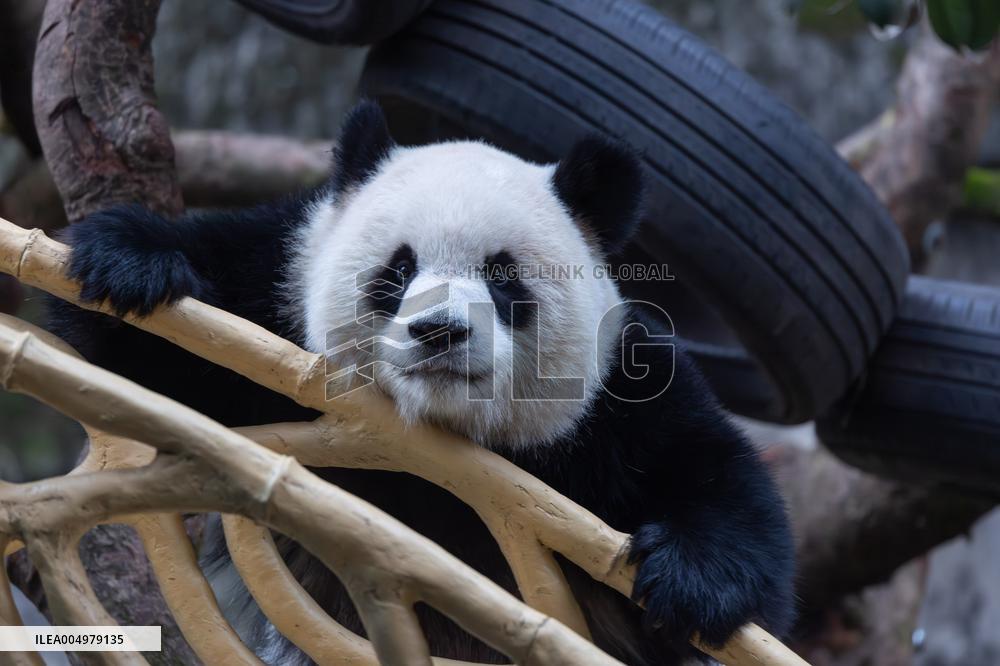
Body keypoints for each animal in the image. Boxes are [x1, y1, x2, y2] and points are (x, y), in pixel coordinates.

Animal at [49, 101, 794, 665]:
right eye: (399, 268)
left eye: (503, 276)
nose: (439, 331)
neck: (434, 444)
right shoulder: (271, 300)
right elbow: (153, 355)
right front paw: (132, 265)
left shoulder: (614, 398)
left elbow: (714, 478)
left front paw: (691, 581)